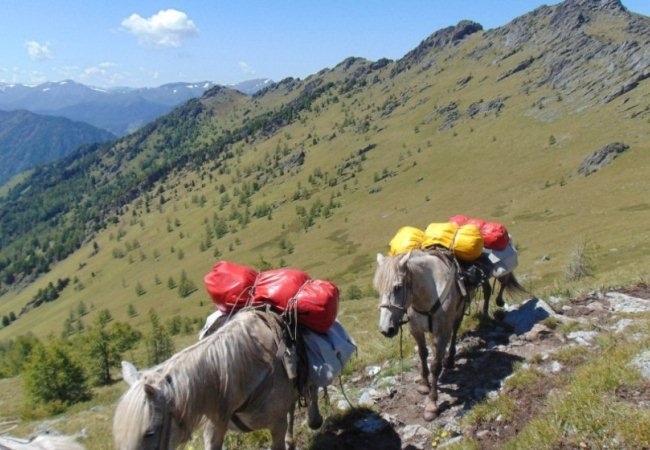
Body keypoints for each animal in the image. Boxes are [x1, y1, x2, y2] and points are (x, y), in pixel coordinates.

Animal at [374, 248, 466, 420]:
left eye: (398, 287)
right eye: (378, 290)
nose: (385, 329)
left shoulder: (441, 333)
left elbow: (435, 365)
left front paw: (432, 404)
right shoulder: (416, 330)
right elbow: (423, 354)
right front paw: (424, 384)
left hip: (458, 315)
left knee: (454, 332)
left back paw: (450, 359)